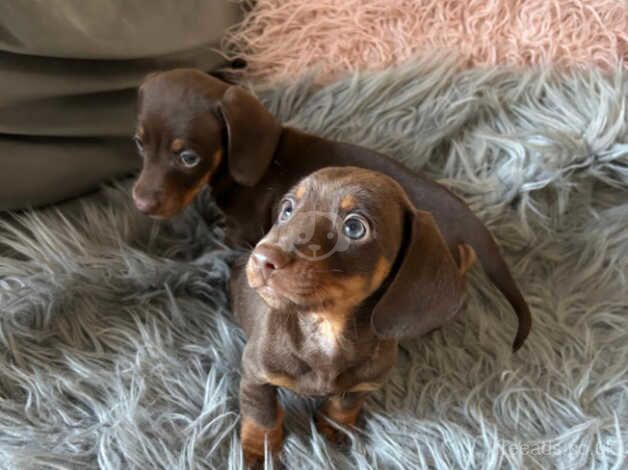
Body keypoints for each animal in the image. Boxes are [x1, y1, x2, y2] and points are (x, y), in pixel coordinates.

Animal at [231, 166, 476, 466]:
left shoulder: (366, 381)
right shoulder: (256, 373)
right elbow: (261, 414)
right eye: (287, 209)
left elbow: (346, 403)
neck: (326, 328)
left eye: (354, 227)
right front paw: (259, 451)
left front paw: (335, 427)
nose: (262, 258)